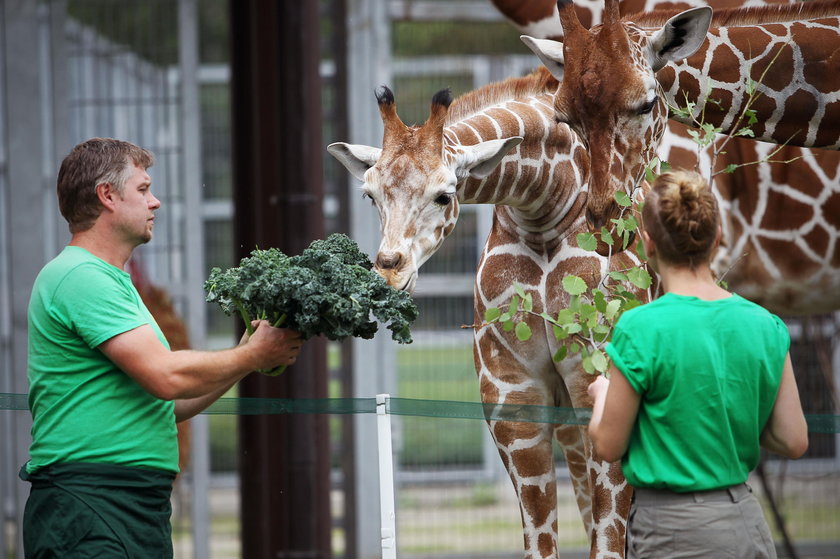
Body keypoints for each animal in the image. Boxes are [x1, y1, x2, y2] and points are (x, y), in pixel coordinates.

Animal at [328, 3, 708, 556]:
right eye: (369, 195)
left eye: (445, 194)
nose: (389, 274)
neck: (546, 208)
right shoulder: (514, 397)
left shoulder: (604, 386)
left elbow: (609, 538)